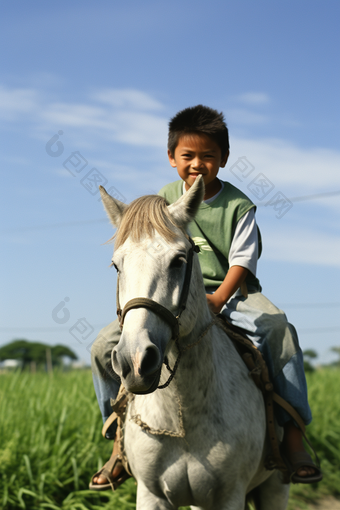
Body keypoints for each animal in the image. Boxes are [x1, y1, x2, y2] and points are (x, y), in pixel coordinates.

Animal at [99, 173, 290, 508]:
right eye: (116, 265)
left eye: (178, 261)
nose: (135, 361)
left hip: (275, 488)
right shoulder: (151, 494)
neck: (184, 418)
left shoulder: (230, 496)